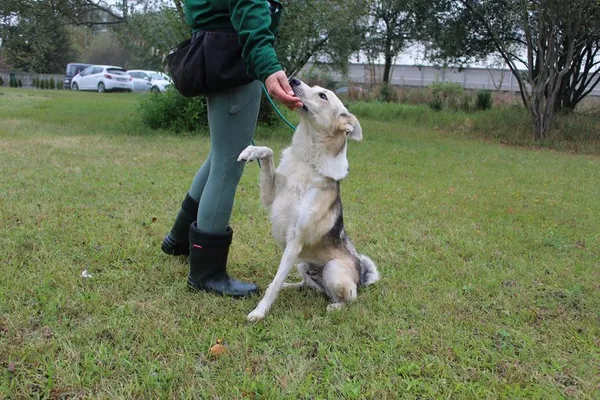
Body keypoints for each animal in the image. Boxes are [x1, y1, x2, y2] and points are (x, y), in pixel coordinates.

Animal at [237, 78, 378, 322]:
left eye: (322, 96)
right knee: (307, 284)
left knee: (349, 297)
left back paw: (334, 307)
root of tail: (360, 278)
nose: (292, 80)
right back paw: (292, 286)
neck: (308, 160)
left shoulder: (295, 240)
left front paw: (260, 312)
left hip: (333, 269)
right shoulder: (271, 196)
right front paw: (252, 151)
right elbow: (269, 151)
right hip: (303, 264)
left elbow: (275, 282)